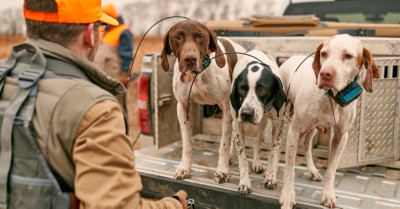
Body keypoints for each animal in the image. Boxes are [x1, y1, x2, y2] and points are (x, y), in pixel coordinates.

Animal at [161, 19, 245, 183]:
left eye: (200, 36)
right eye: (177, 37)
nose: (190, 59)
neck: (197, 74)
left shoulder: (226, 108)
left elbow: (223, 144)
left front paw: (222, 170)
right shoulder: (182, 107)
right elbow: (187, 144)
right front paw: (184, 168)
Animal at [228, 49, 288, 195]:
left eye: (262, 89)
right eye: (242, 88)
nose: (246, 114)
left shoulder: (278, 124)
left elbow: (273, 153)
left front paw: (271, 177)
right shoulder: (237, 124)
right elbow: (242, 159)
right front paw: (244, 183)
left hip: (263, 123)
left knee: (257, 141)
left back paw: (257, 162)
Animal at [278, 33, 378, 208]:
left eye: (348, 56)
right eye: (324, 53)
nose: (324, 74)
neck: (331, 97)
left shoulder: (341, 135)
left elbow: (331, 170)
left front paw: (328, 194)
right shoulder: (294, 131)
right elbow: (289, 168)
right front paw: (288, 195)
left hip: (312, 128)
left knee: (307, 145)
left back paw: (312, 170)